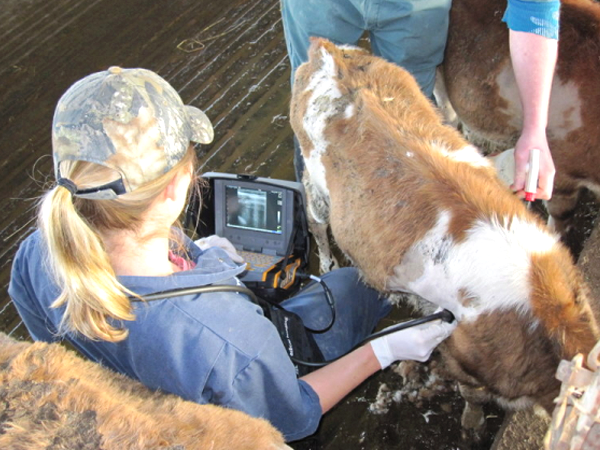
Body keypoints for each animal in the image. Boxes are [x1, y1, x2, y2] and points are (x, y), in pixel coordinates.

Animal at [290, 37, 600, 432]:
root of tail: (329, 52)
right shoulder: (460, 353)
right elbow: (472, 395)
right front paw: (472, 422)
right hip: (314, 179)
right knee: (315, 220)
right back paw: (328, 263)